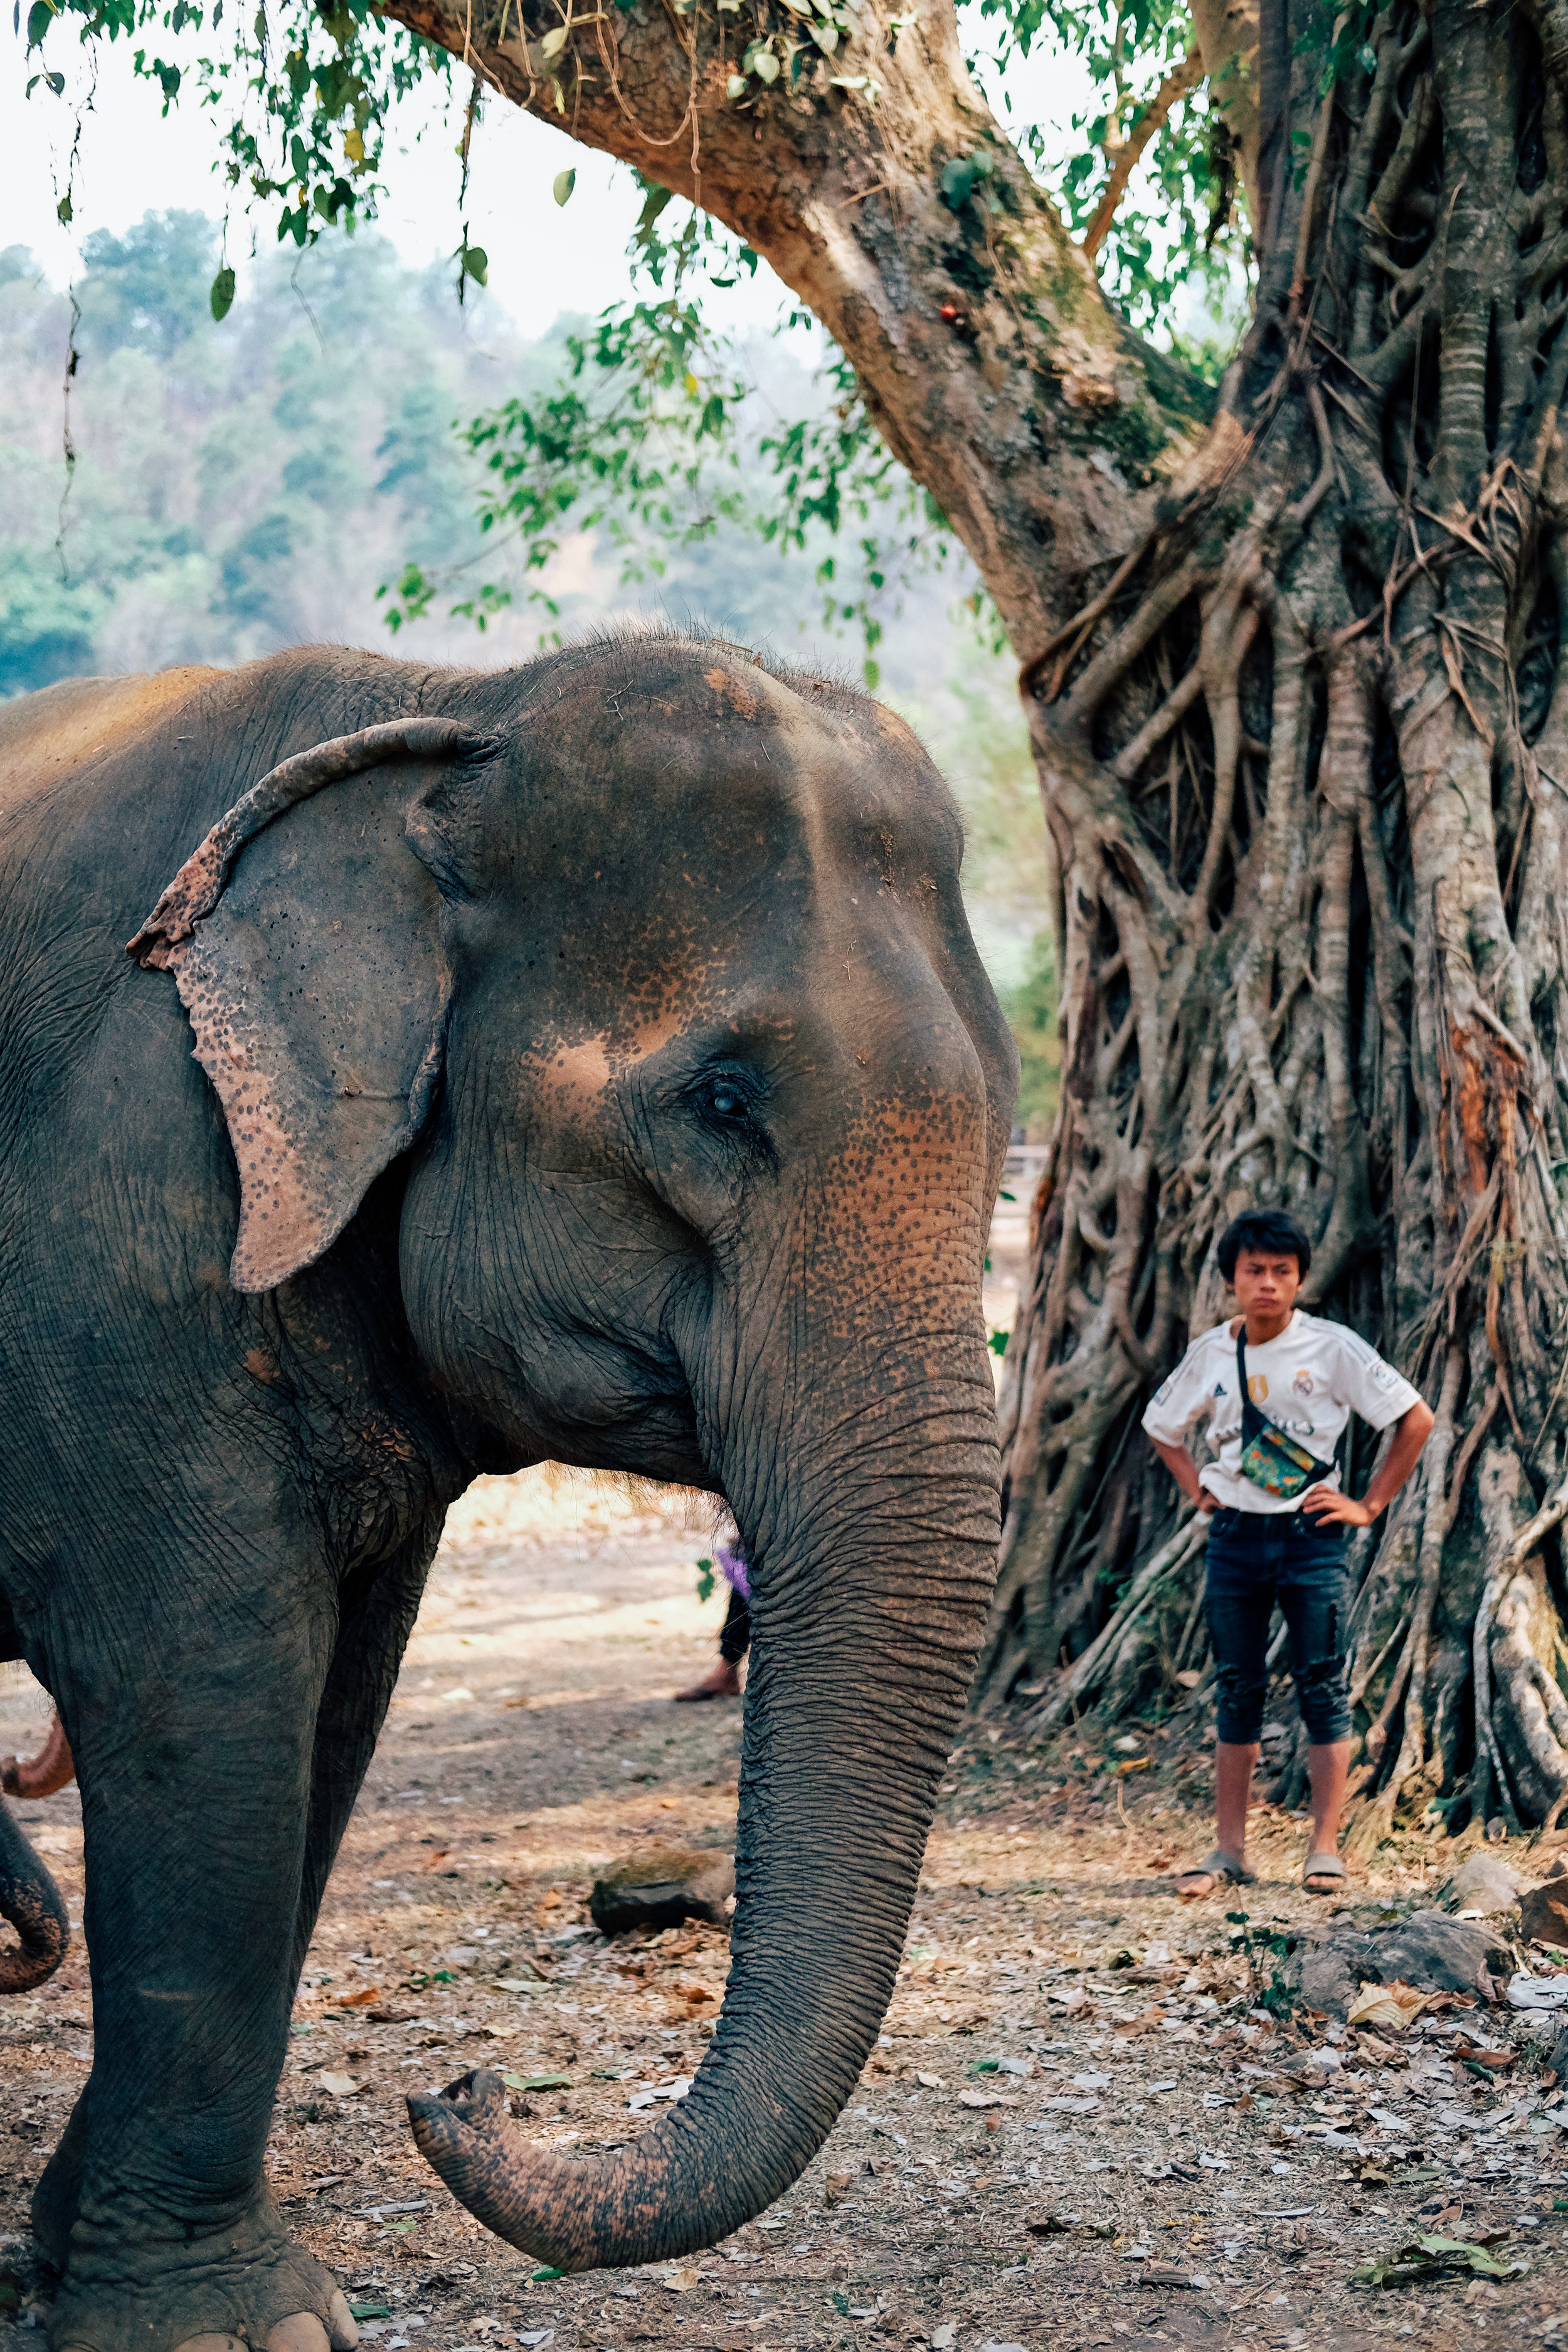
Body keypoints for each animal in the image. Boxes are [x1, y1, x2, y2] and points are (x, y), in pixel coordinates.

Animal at [0, 635, 1025, 2352]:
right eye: (722, 1101)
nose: (459, 2086)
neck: (454, 705)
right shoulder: (118, 1230)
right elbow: (208, 1693)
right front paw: (227, 2331)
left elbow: (332, 1715)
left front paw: (80, 2260)